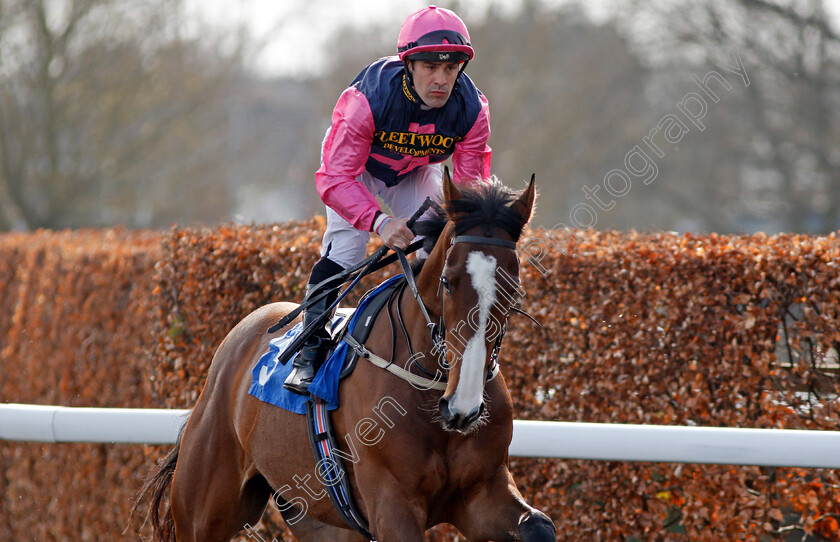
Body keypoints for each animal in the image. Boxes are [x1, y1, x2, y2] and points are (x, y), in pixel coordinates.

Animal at [136, 171, 556, 542]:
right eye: (447, 282)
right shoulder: (392, 504)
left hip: (321, 519)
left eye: (513, 288)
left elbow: (540, 526)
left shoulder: (482, 492)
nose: (463, 407)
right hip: (204, 511)